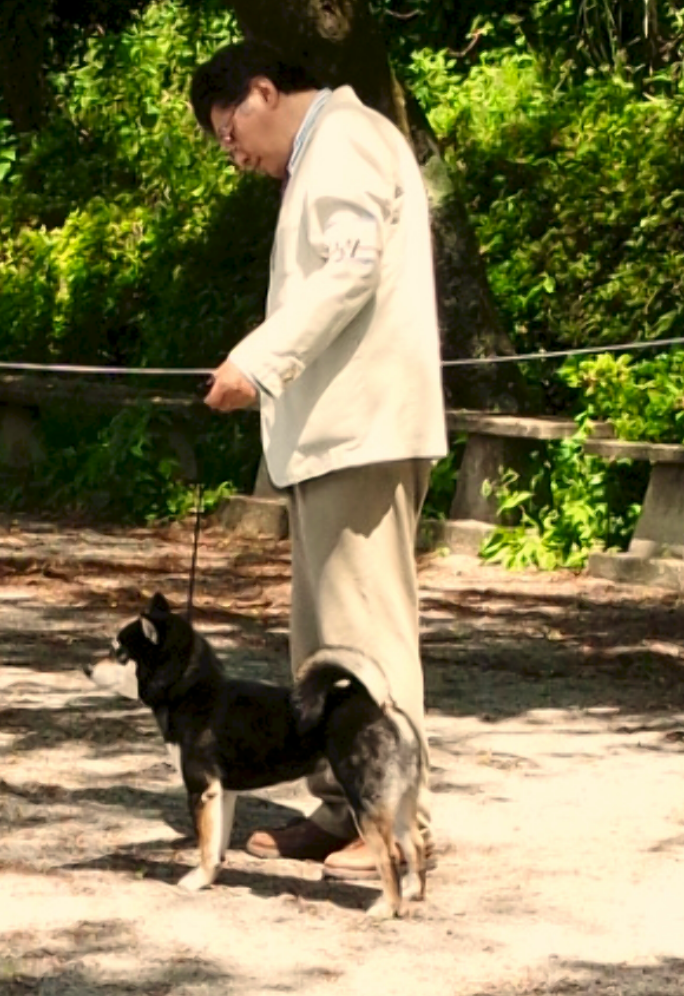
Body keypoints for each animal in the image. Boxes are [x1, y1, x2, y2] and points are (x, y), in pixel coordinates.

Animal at [85, 592, 425, 917]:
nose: (87, 668)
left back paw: (387, 907)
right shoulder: (223, 793)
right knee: (415, 846)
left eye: (119, 653)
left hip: (365, 803)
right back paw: (412, 892)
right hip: (399, 804)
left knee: (389, 856)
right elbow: (216, 845)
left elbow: (205, 845)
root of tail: (381, 707)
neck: (190, 690)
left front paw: (196, 880)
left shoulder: (202, 790)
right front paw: (210, 877)